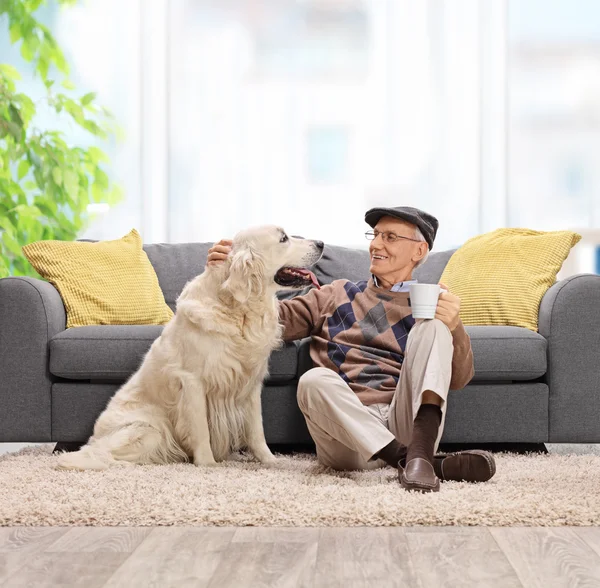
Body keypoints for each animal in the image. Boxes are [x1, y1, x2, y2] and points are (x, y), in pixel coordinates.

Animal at [57, 225, 324, 468]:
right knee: (101, 454)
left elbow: (256, 429)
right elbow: (201, 428)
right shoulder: (192, 381)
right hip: (149, 431)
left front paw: (270, 461)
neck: (237, 310)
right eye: (283, 238)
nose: (321, 243)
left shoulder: (249, 381)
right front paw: (207, 464)